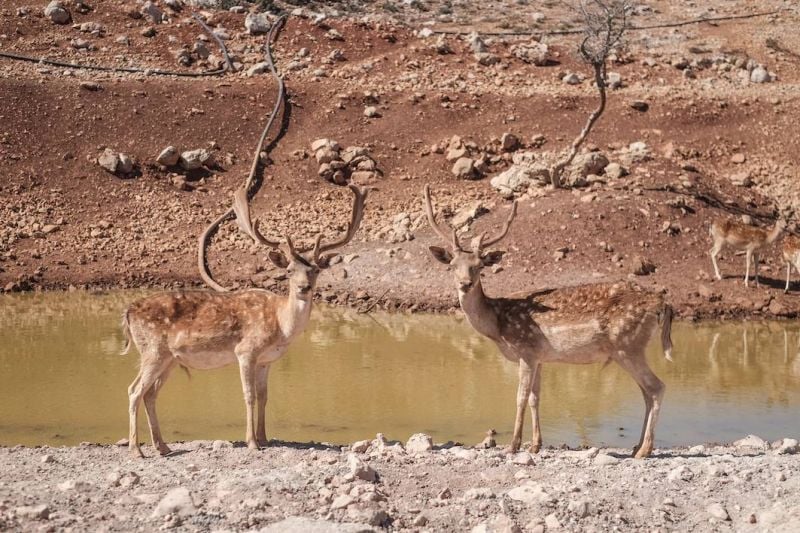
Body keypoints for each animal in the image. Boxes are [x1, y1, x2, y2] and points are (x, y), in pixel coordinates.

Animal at [121, 184, 368, 458]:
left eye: (315, 270)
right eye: (289, 271)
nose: (303, 288)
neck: (280, 326)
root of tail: (128, 312)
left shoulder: (266, 360)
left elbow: (264, 396)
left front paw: (264, 438)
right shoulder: (246, 351)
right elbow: (249, 395)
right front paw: (251, 442)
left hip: (169, 359)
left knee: (150, 394)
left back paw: (162, 446)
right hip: (152, 350)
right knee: (134, 391)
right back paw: (136, 449)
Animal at [422, 185, 672, 456]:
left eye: (480, 266)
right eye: (452, 265)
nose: (464, 284)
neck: (498, 326)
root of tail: (662, 303)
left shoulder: (526, 350)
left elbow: (520, 397)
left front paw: (514, 445)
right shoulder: (539, 357)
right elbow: (535, 398)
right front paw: (535, 445)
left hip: (628, 345)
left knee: (656, 387)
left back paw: (645, 450)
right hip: (630, 349)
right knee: (646, 392)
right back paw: (637, 447)